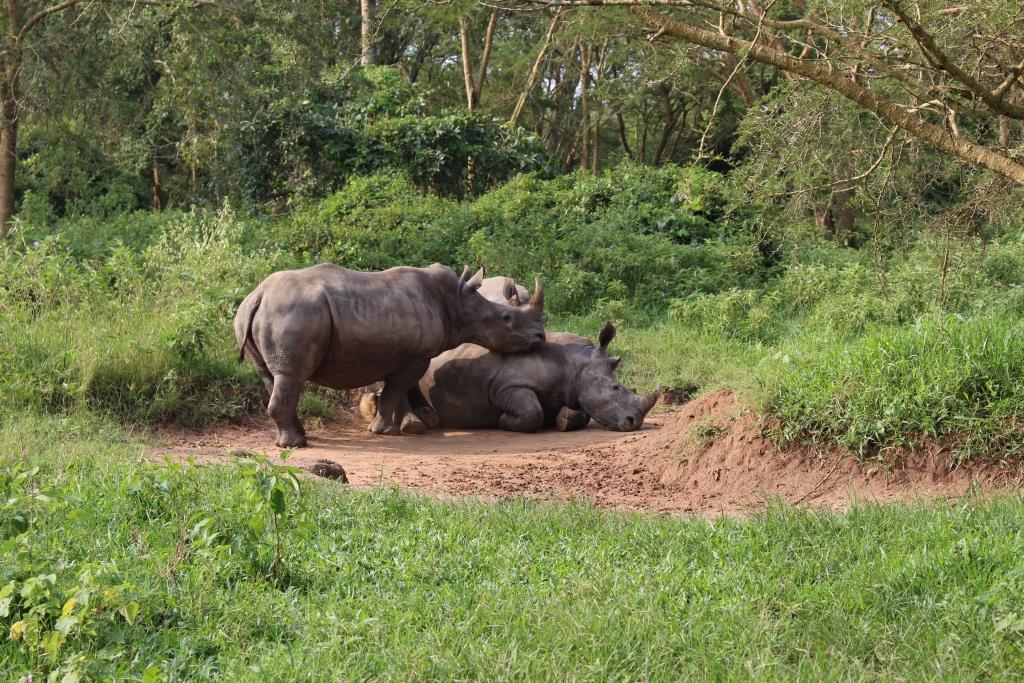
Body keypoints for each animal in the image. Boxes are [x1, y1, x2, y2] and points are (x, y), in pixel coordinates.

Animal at [235, 263, 547, 446]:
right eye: (506, 318)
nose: (540, 337)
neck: (459, 302)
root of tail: (258, 296)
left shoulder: (401, 354)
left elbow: (398, 390)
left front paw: (409, 425)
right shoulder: (419, 355)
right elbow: (397, 389)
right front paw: (388, 431)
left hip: (253, 315)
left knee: (270, 375)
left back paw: (295, 437)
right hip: (294, 312)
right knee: (290, 375)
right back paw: (295, 445)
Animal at [365, 323, 660, 433]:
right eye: (615, 387)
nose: (635, 422)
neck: (576, 365)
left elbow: (581, 413)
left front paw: (563, 419)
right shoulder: (506, 386)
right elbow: (532, 412)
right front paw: (504, 421)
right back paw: (416, 424)